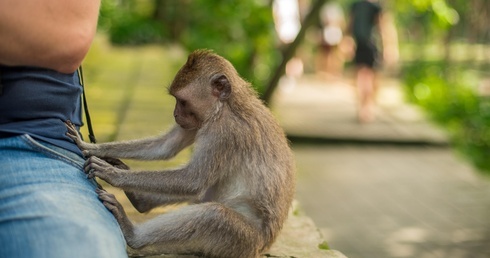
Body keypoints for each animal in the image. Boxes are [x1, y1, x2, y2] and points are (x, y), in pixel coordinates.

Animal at [64, 49, 294, 256]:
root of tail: (262, 247)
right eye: (176, 100)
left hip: (243, 241)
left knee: (213, 214)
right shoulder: (198, 123)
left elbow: (193, 180)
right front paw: (94, 148)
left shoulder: (225, 132)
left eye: (182, 101)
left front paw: (113, 175)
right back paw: (141, 200)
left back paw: (133, 234)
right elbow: (166, 146)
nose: (175, 114)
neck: (224, 106)